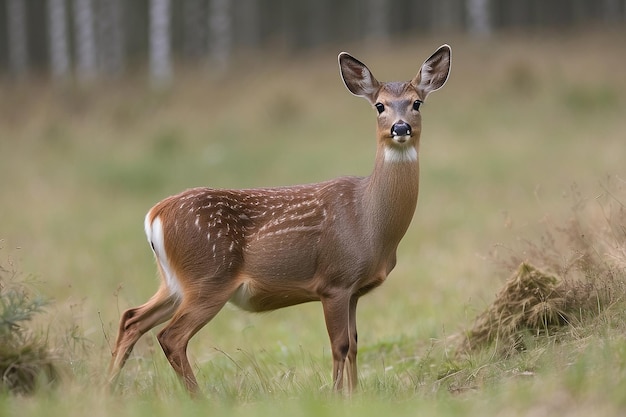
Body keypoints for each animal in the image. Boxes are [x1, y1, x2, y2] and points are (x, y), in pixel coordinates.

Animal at [107, 44, 448, 394]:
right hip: (208, 277)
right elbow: (339, 345)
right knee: (170, 336)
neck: (368, 222)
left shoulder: (354, 289)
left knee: (131, 318)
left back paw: (106, 390)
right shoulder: (334, 281)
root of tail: (155, 214)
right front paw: (338, 396)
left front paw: (355, 394)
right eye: (380, 105)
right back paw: (197, 397)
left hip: (175, 282)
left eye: (417, 102)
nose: (400, 128)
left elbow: (354, 343)